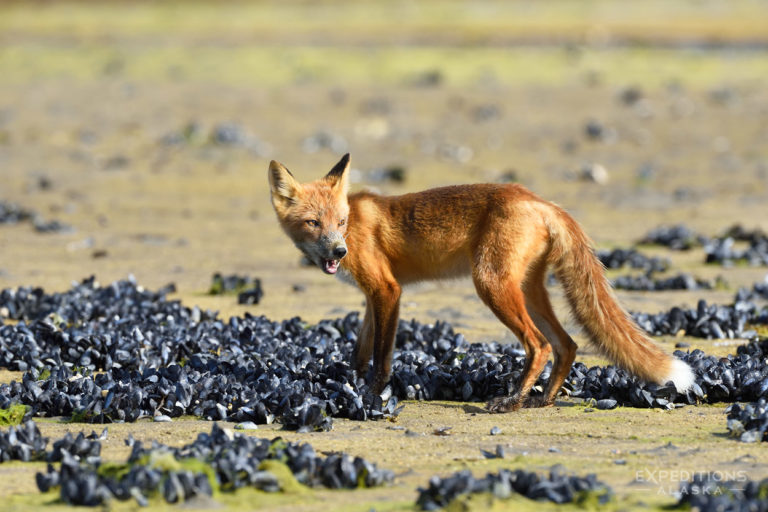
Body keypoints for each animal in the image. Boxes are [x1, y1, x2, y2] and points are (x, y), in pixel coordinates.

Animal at [268, 153, 694, 412]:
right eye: (313, 222)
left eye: (340, 222)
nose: (338, 252)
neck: (356, 221)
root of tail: (541, 201)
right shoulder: (373, 296)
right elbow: (360, 351)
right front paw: (352, 387)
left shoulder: (388, 289)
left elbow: (382, 355)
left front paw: (373, 395)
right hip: (528, 290)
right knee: (567, 345)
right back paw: (543, 400)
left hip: (490, 284)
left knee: (539, 345)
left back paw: (512, 401)